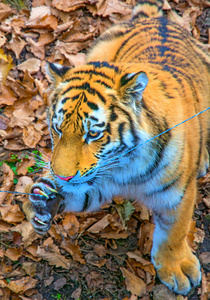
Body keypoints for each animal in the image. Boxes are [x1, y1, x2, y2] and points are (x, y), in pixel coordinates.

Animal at [22, 0, 209, 296]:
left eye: (93, 133)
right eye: (58, 129)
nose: (62, 176)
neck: (125, 166)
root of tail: (156, 18)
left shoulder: (177, 194)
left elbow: (175, 231)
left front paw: (178, 269)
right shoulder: (95, 184)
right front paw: (38, 199)